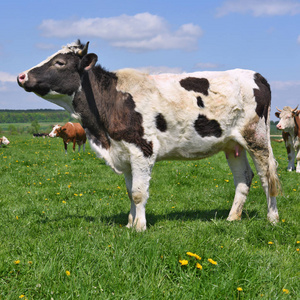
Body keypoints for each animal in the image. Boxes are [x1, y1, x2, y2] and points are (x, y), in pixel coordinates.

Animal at [17, 39, 282, 231]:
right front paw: (129, 223)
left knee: (266, 176)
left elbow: (137, 193)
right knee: (243, 178)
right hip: (232, 144)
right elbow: (129, 191)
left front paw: (139, 227)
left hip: (256, 138)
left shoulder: (142, 148)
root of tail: (256, 75)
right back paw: (232, 217)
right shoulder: (124, 153)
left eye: (60, 62)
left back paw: (272, 218)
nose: (21, 76)